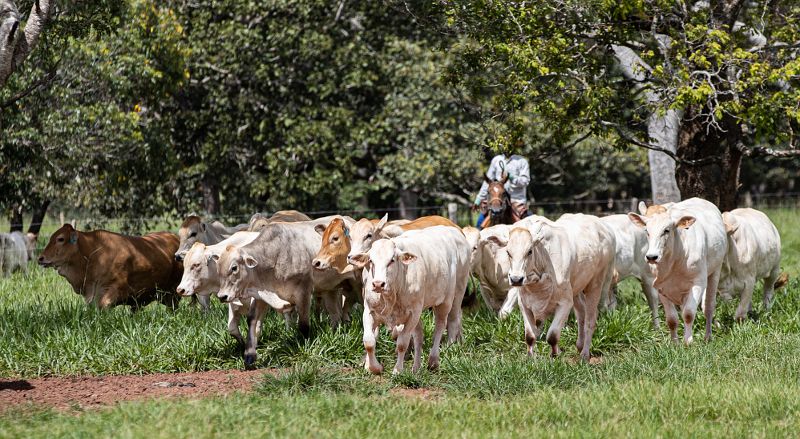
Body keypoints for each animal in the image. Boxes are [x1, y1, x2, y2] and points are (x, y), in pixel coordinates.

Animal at [348, 227, 468, 374]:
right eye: (371, 261)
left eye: (392, 260)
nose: (378, 284)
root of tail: (453, 229)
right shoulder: (369, 311)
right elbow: (369, 341)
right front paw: (374, 367)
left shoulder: (413, 313)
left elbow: (402, 343)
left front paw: (398, 370)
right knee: (419, 333)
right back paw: (416, 368)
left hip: (451, 298)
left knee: (444, 324)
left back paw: (434, 359)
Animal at [490, 215, 616, 362]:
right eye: (508, 252)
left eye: (529, 251)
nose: (516, 279)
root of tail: (603, 227)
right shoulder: (524, 305)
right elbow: (530, 336)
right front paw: (530, 357)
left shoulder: (565, 303)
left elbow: (552, 335)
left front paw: (555, 355)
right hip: (576, 289)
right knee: (581, 313)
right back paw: (579, 345)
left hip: (596, 283)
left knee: (590, 320)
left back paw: (585, 354)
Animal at [628, 198, 728, 346]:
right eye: (647, 231)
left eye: (666, 230)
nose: (651, 257)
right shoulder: (660, 286)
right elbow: (672, 319)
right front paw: (675, 343)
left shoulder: (698, 283)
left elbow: (688, 314)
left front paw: (688, 341)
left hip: (715, 270)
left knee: (708, 306)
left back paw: (708, 336)